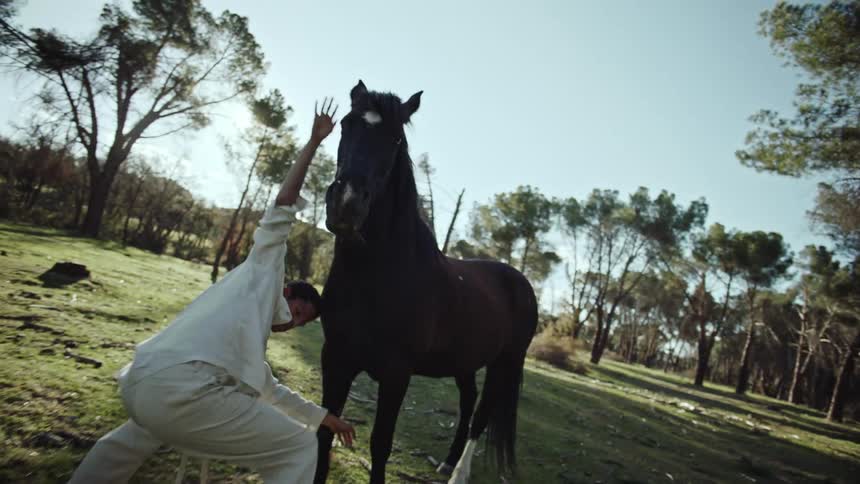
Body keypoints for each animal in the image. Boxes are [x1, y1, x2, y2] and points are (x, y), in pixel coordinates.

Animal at [314, 80, 538, 484]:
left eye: (395, 140)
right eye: (346, 124)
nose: (346, 205)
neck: (377, 274)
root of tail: (520, 281)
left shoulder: (397, 373)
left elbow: (381, 445)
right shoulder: (336, 357)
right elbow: (325, 430)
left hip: (506, 362)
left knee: (481, 416)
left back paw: (458, 473)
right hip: (466, 362)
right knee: (467, 403)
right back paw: (448, 462)